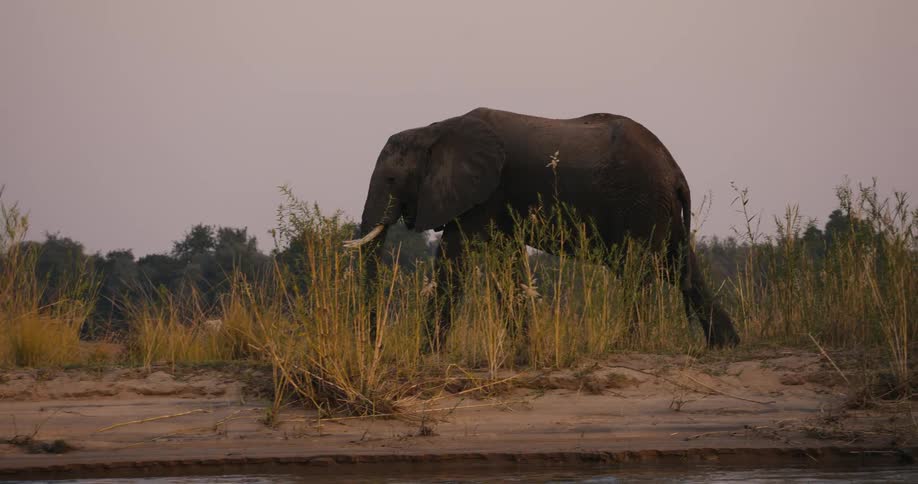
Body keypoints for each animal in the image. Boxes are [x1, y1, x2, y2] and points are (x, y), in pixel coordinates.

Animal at [344, 108, 740, 348]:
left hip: (642, 205)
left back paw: (626, 345)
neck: (435, 129)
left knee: (636, 272)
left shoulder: (484, 193)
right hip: (663, 212)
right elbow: (506, 265)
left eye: (392, 179)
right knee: (684, 271)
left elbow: (455, 258)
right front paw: (523, 351)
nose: (377, 343)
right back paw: (726, 346)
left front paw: (428, 354)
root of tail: (676, 173)